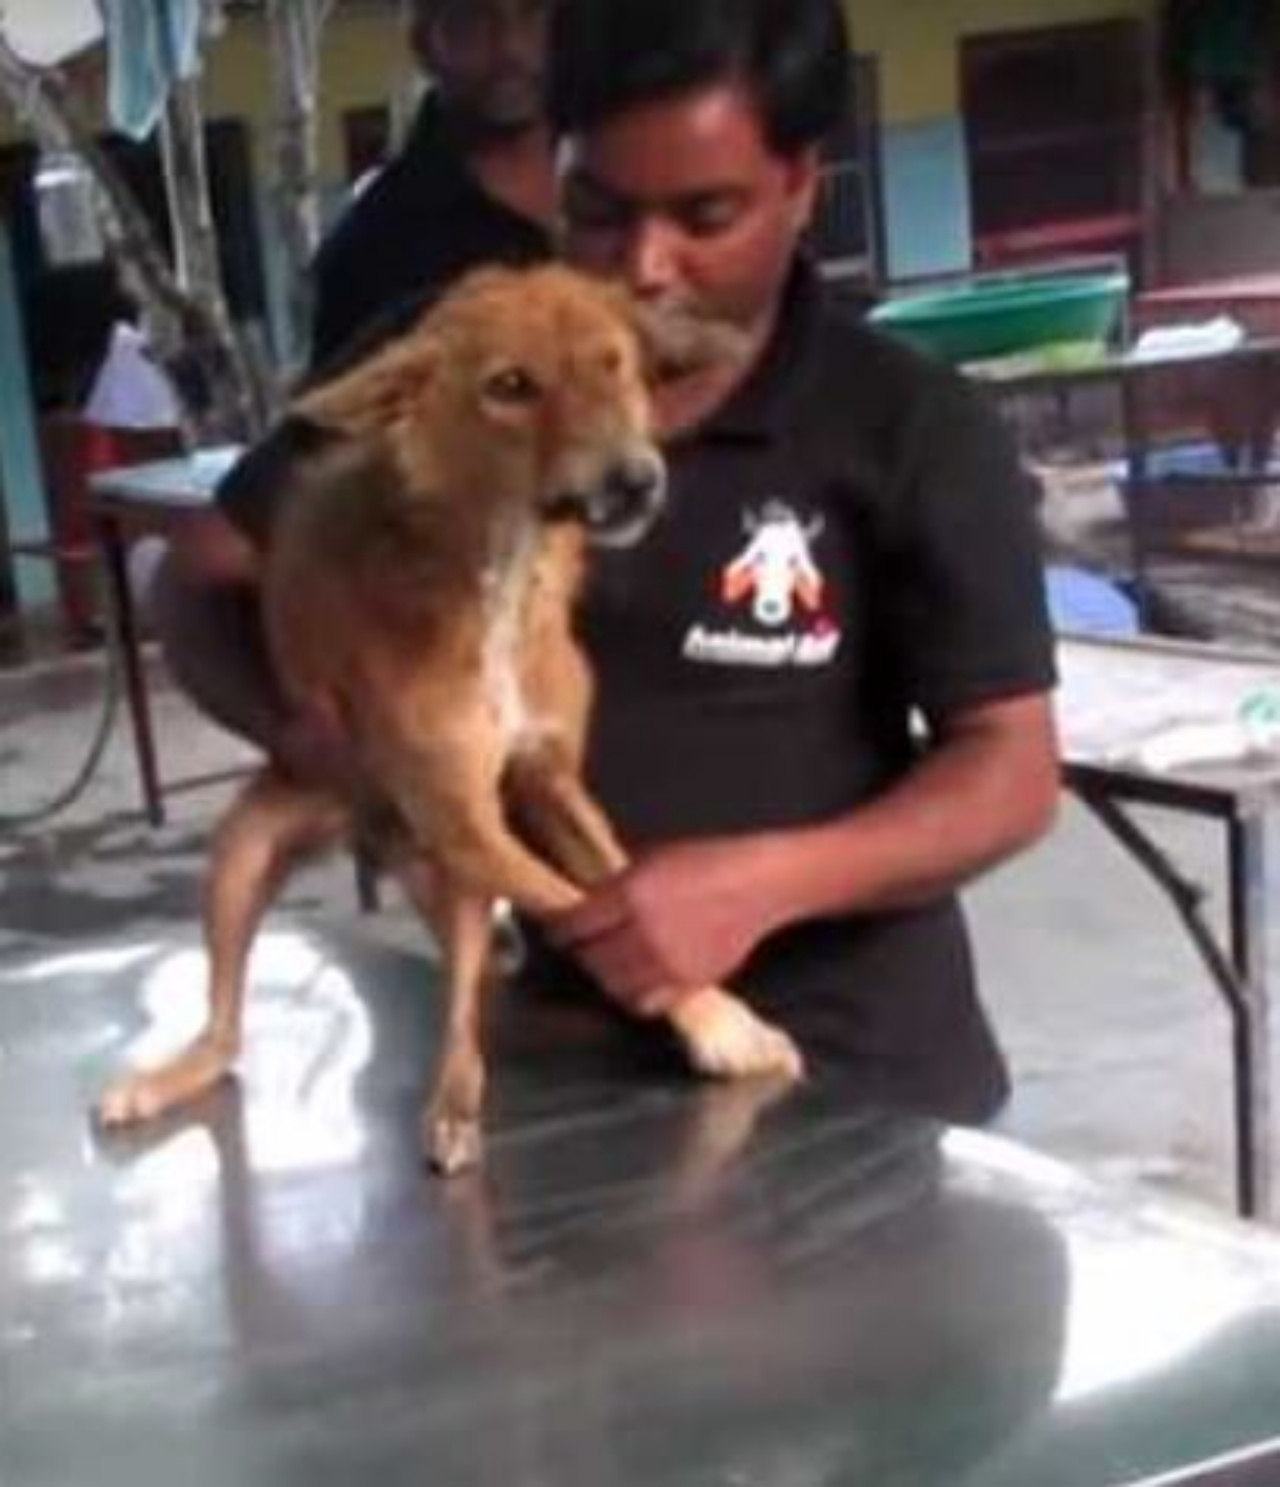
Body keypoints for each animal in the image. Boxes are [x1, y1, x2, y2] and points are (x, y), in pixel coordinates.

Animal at [97, 267, 796, 1171]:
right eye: (511, 386)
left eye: (614, 364)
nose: (637, 478)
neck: (503, 573)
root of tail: (368, 833)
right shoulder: (461, 816)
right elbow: (577, 907)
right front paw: (724, 1025)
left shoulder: (544, 782)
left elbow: (613, 883)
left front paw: (715, 1017)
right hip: (249, 854)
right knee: (227, 1032)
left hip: (451, 869)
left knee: (465, 982)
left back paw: (457, 1091)